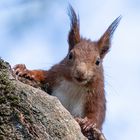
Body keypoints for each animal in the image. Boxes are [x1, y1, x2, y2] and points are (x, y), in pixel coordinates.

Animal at [13, 5, 121, 140]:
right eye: (70, 55)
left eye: (98, 62)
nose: (81, 72)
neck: (75, 84)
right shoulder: (55, 74)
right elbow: (43, 74)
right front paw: (26, 71)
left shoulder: (97, 94)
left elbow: (97, 112)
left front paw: (89, 122)